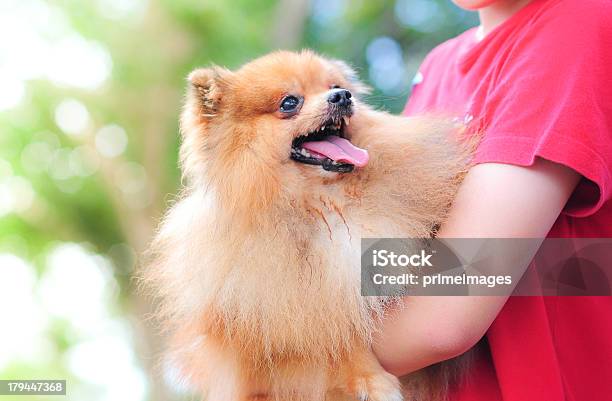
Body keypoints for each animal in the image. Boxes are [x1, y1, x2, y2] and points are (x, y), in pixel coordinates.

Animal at [143, 50, 474, 400]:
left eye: (335, 86)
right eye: (290, 102)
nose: (342, 96)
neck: (324, 202)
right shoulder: (270, 334)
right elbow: (329, 342)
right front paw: (370, 379)